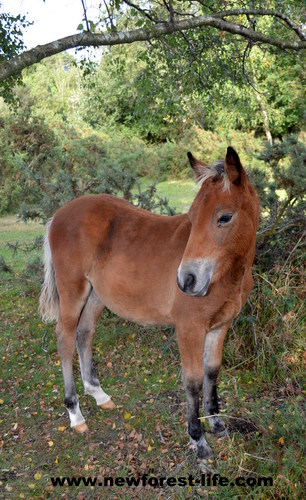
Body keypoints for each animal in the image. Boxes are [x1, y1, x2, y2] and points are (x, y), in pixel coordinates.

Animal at [38, 146, 258, 458]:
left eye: (224, 217)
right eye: (192, 217)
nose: (186, 280)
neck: (226, 274)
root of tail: (58, 215)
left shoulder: (220, 326)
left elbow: (212, 373)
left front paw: (216, 424)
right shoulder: (188, 328)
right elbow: (192, 380)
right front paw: (198, 438)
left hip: (96, 295)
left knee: (84, 333)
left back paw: (98, 393)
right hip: (73, 292)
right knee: (65, 338)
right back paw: (75, 413)